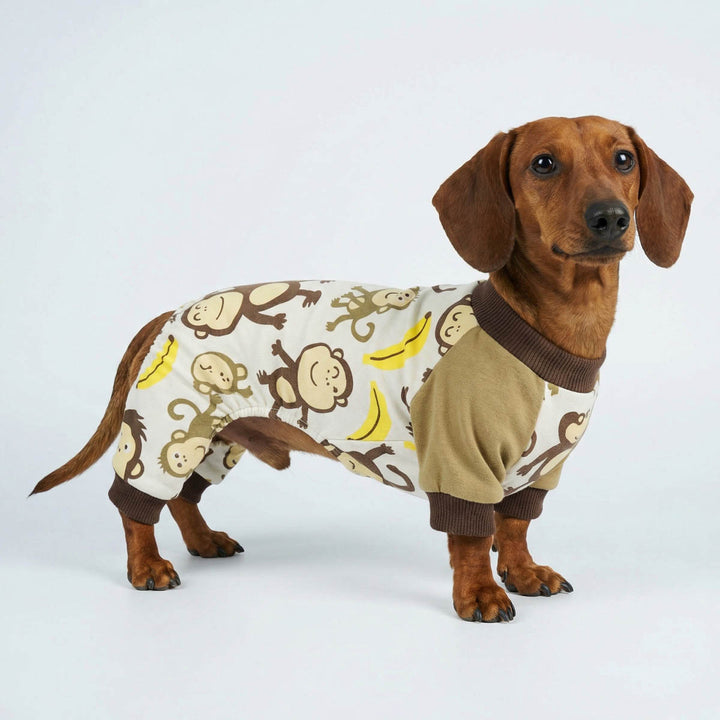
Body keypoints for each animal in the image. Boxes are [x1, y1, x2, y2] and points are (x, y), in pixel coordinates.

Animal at [181, 281, 322, 339]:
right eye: (197, 317)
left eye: (198, 310)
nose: (203, 308)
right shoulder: (248, 312)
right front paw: (277, 320)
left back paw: (313, 296)